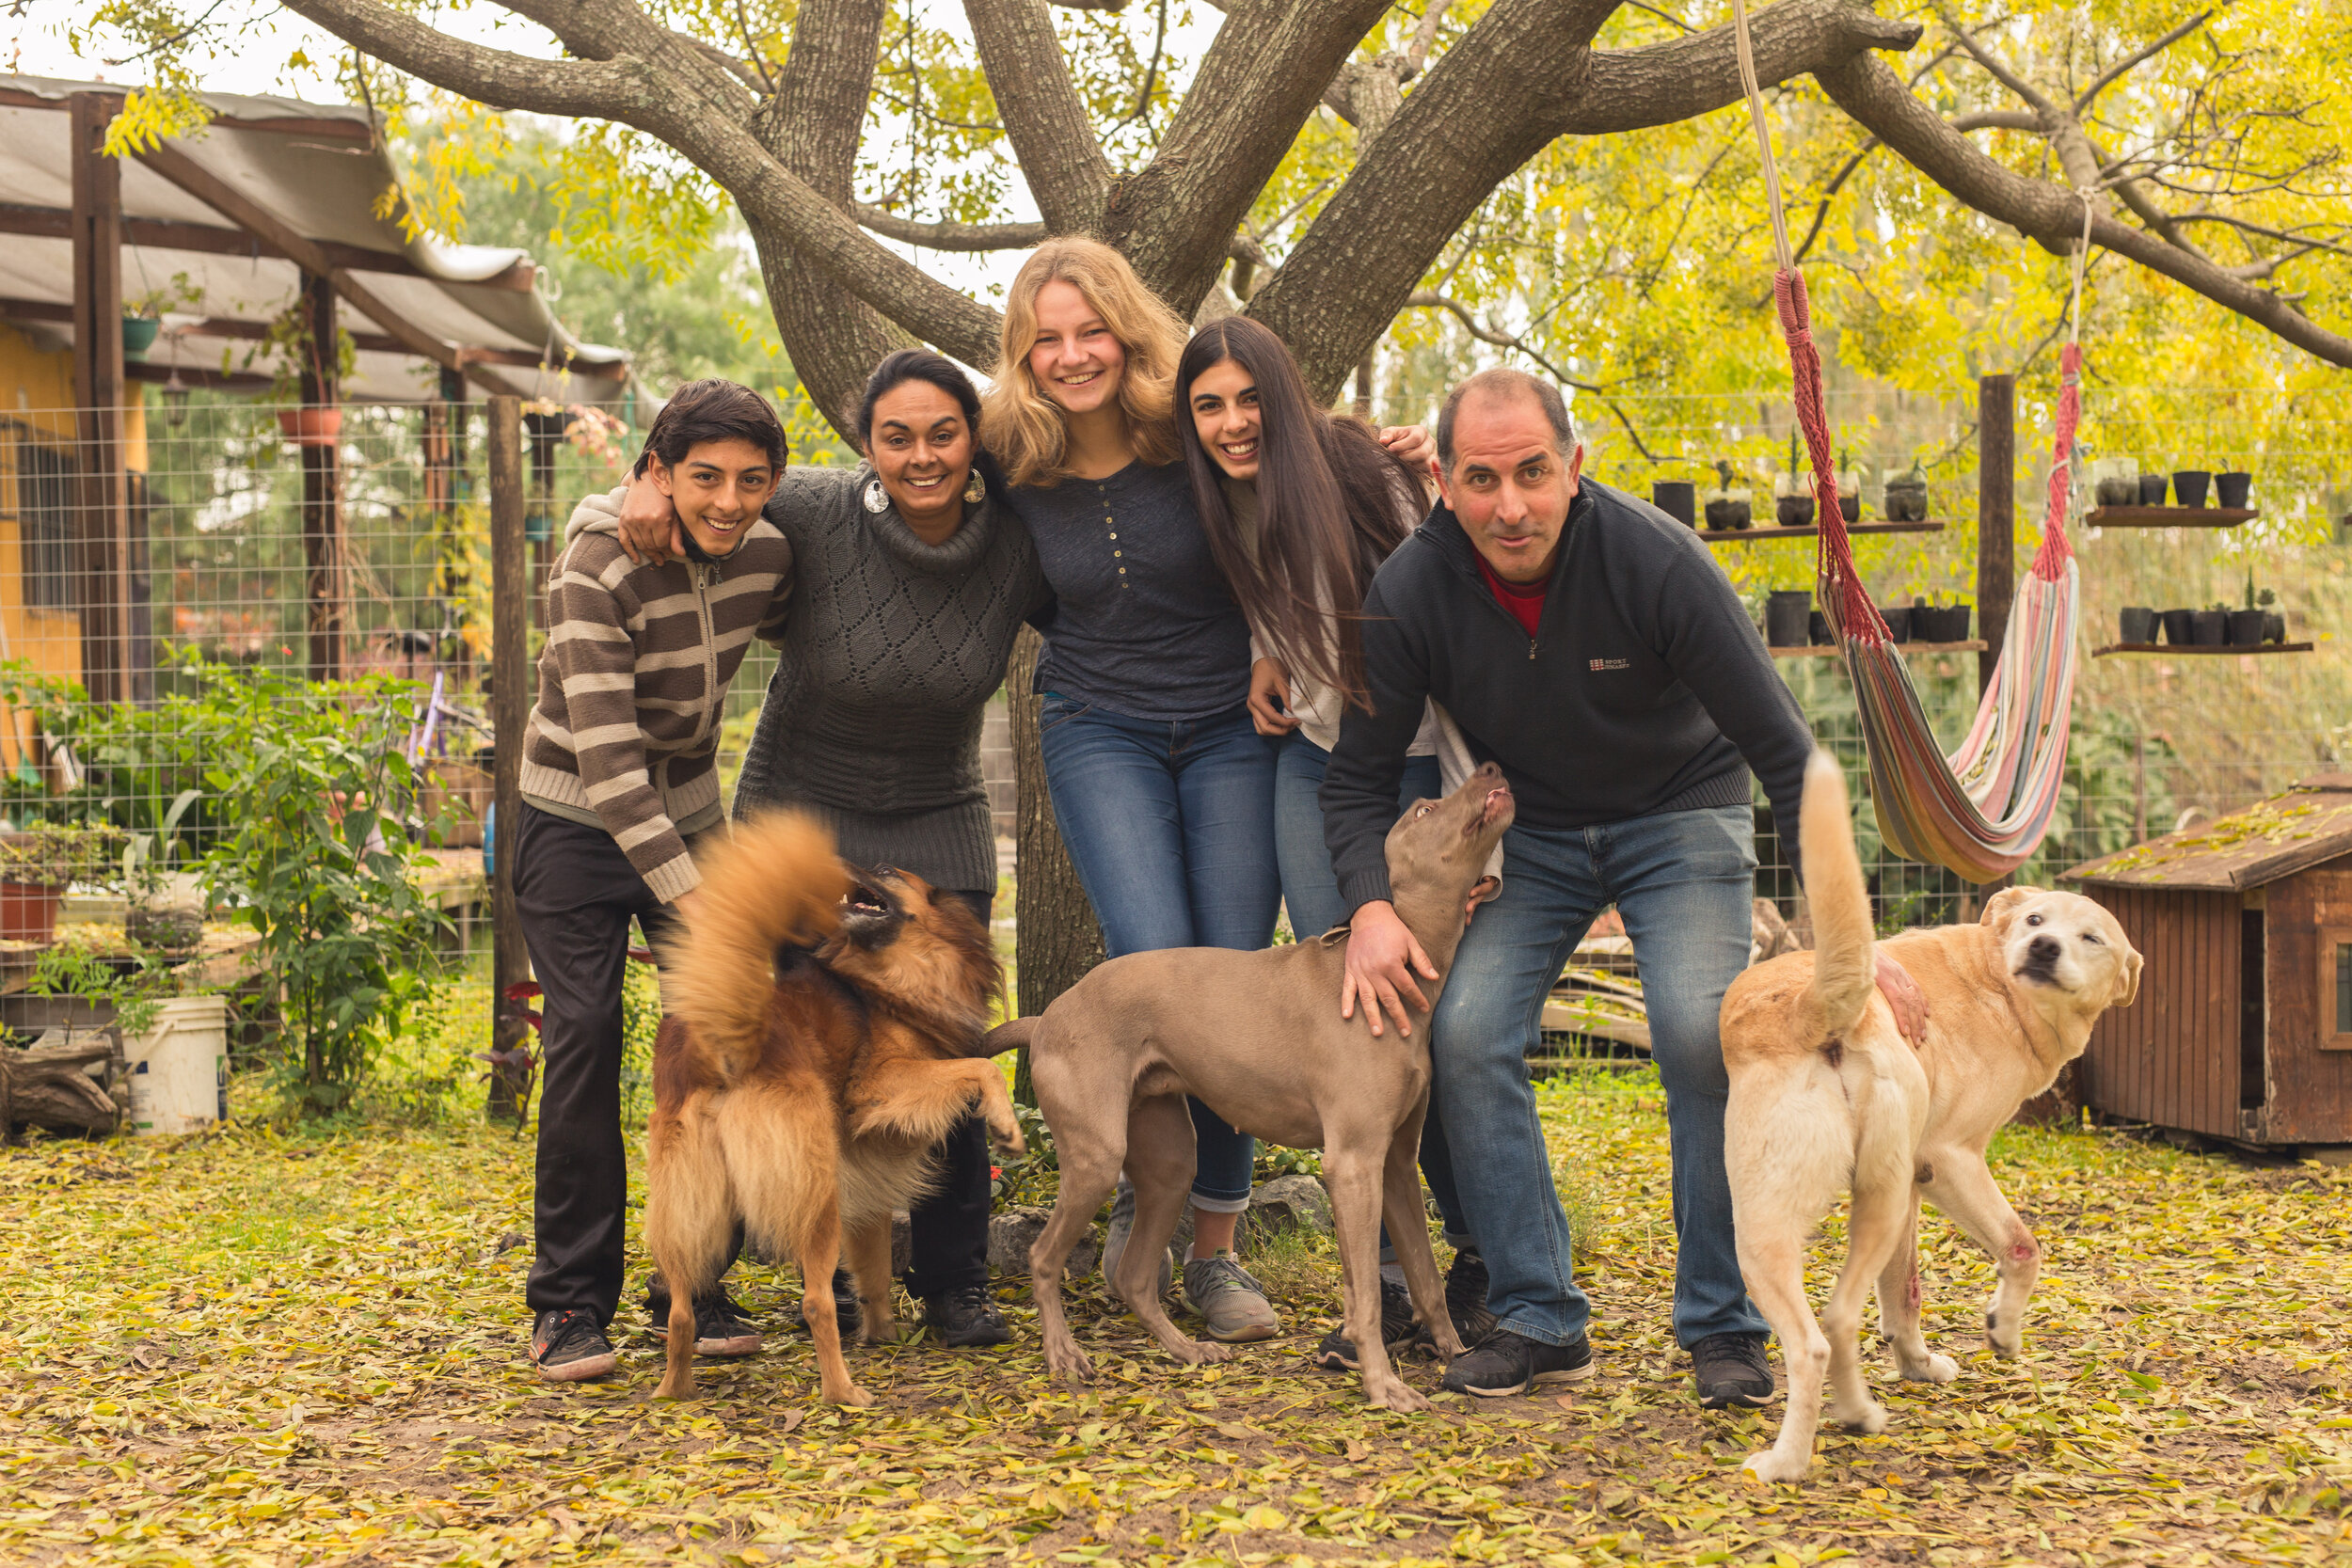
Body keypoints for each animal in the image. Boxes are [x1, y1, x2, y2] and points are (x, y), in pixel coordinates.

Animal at [644, 822, 1021, 1410]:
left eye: (886, 872)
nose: (838, 859)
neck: (889, 978)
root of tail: (723, 1046)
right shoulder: (884, 1086)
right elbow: (981, 1066)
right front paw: (1007, 1127)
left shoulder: (867, 1179)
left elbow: (875, 1265)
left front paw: (881, 1330)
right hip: (815, 1197)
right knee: (816, 1301)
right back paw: (843, 1390)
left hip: (690, 1204)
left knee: (682, 1309)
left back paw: (674, 1387)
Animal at [983, 761, 1515, 1410]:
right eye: (1423, 809)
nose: (1489, 767)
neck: (1384, 972)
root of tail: (1047, 1017)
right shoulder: (1353, 1163)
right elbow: (1363, 1293)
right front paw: (1382, 1384)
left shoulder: (1394, 1164)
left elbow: (1425, 1275)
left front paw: (1455, 1355)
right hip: (1096, 1157)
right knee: (1042, 1257)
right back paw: (1063, 1355)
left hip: (1169, 1161)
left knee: (1134, 1276)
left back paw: (1186, 1350)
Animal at [1722, 752, 2145, 1476]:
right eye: (2036, 922)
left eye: (2090, 937)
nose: (2045, 950)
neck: (1996, 982)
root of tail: (1813, 1007)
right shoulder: (1949, 1161)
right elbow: (2024, 1246)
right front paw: (2004, 1329)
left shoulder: (1913, 1184)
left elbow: (1905, 1293)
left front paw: (1917, 1364)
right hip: (1777, 1220)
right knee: (1821, 1333)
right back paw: (1792, 1458)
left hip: (1850, 1209)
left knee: (1832, 1324)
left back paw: (1846, 1419)